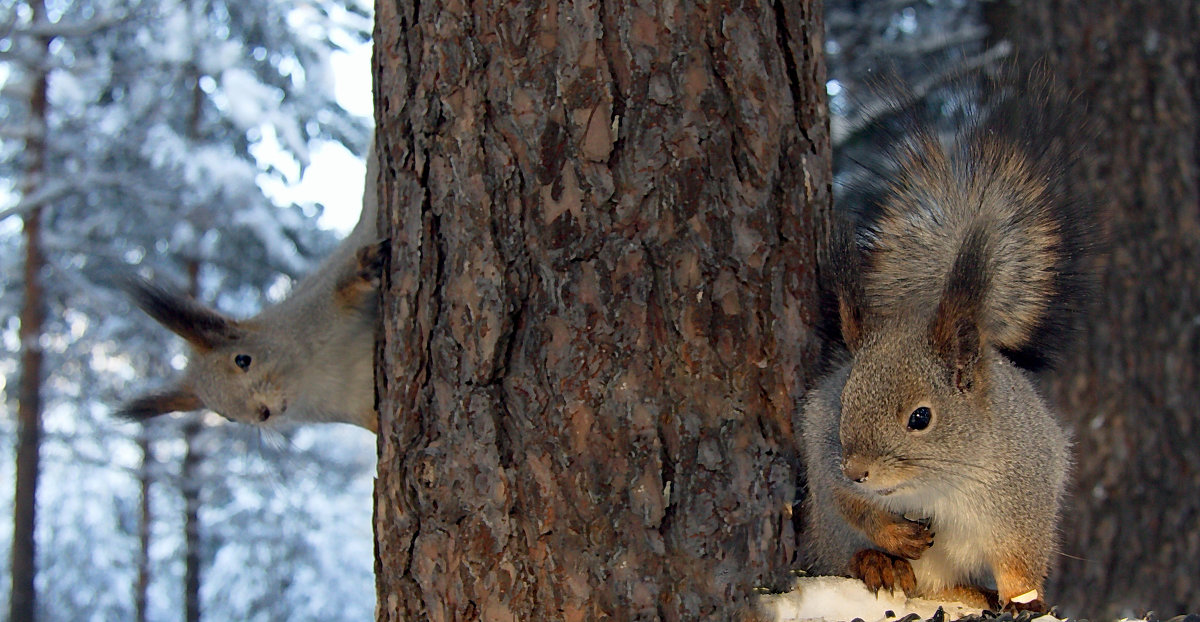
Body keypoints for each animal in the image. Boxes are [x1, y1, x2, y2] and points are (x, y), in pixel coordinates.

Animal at [118, 141, 381, 434]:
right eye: (226, 416)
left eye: (243, 360)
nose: (262, 412)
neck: (311, 375)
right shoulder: (347, 407)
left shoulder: (318, 307)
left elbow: (342, 287)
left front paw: (364, 270)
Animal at [801, 76, 1094, 614]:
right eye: (844, 402)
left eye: (921, 418)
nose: (858, 470)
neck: (937, 486)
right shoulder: (822, 449)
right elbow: (847, 503)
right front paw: (893, 536)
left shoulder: (1024, 491)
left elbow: (1020, 558)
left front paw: (1024, 599)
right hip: (828, 534)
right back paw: (879, 563)